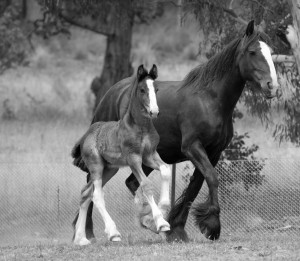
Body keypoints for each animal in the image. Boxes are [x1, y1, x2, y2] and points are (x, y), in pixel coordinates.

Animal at [71, 64, 171, 245]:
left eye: (156, 89)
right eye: (142, 90)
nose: (154, 112)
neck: (140, 127)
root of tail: (86, 134)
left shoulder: (150, 156)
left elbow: (166, 170)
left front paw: (161, 213)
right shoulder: (133, 159)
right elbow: (145, 185)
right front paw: (160, 222)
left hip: (110, 169)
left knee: (85, 193)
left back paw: (81, 238)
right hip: (96, 166)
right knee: (96, 194)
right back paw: (113, 233)